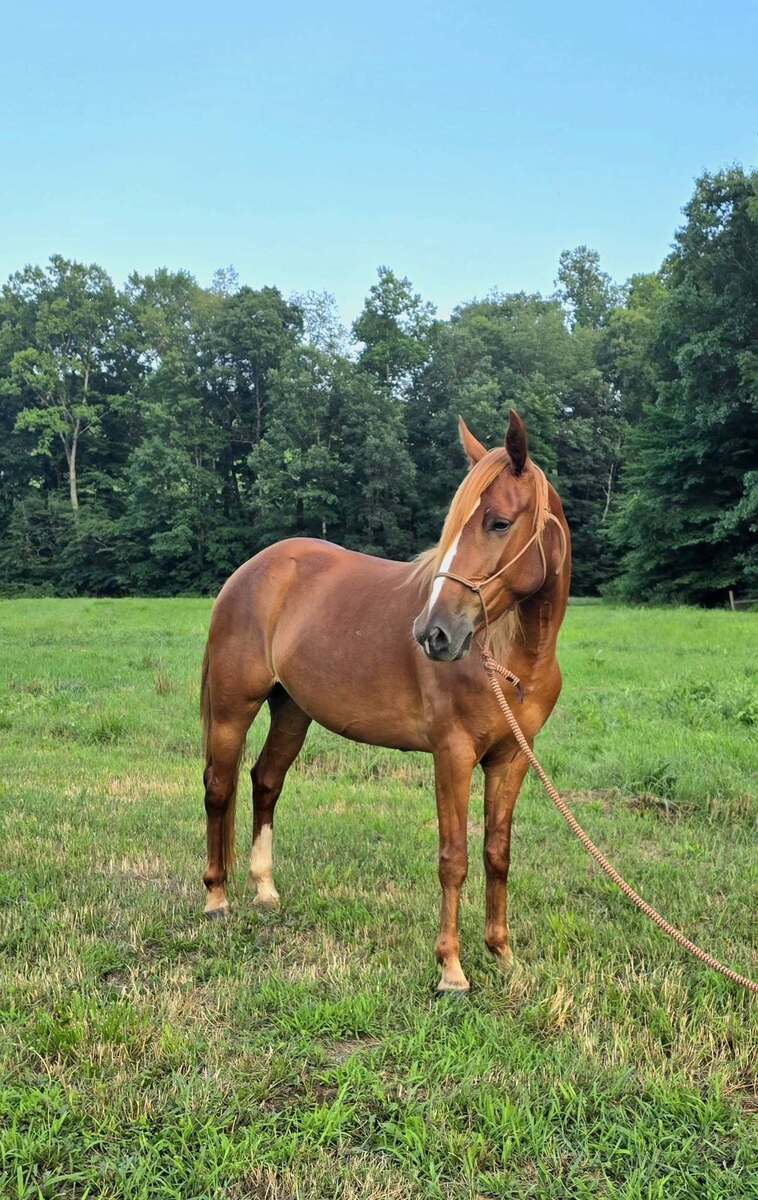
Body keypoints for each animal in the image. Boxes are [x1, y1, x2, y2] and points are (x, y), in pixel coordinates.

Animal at [200, 409, 571, 994]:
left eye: (499, 523)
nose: (433, 633)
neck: (512, 658)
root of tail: (250, 571)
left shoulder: (512, 759)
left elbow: (497, 853)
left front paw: (503, 954)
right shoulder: (453, 755)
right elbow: (453, 858)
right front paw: (451, 969)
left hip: (292, 710)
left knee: (265, 781)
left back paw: (264, 889)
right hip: (234, 707)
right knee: (219, 787)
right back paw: (217, 898)